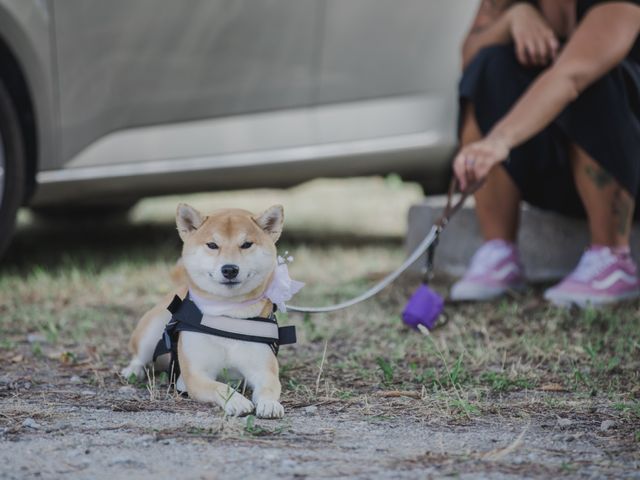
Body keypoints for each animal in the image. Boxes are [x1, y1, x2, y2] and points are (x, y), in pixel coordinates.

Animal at [122, 204, 302, 418]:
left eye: (246, 244)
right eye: (212, 245)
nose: (230, 269)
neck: (227, 314)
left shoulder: (263, 370)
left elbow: (269, 387)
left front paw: (269, 403)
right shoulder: (194, 376)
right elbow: (219, 386)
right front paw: (236, 401)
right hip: (150, 334)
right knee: (139, 356)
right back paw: (132, 371)